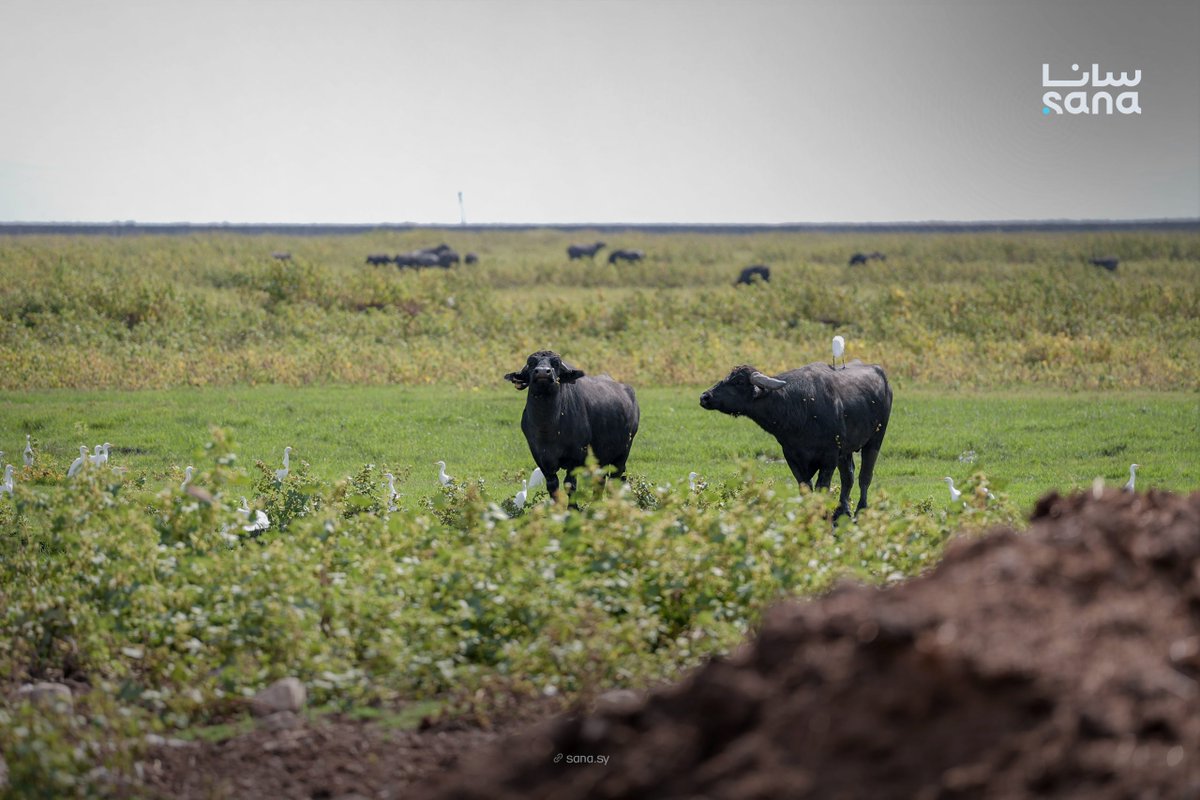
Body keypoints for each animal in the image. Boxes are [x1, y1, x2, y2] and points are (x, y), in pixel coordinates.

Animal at [504, 350, 640, 498]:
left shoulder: (575, 458)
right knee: (600, 482)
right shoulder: (541, 458)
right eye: (531, 363)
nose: (542, 372)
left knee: (614, 480)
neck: (548, 428)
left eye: (556, 363)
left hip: (622, 454)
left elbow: (570, 485)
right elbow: (552, 486)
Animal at [700, 361, 892, 520]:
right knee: (848, 476)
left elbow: (822, 488)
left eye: (739, 382)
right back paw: (842, 512)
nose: (705, 397)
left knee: (864, 477)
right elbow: (805, 488)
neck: (799, 408)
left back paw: (861, 510)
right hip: (846, 451)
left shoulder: (829, 458)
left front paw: (822, 516)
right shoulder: (792, 456)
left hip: (875, 439)